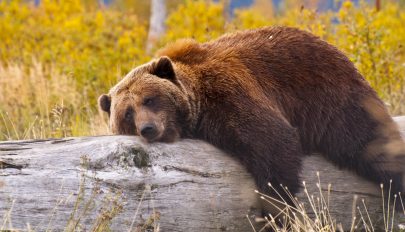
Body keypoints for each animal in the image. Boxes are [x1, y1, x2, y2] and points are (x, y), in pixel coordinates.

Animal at [98, 26, 404, 205]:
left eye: (149, 99)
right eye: (127, 113)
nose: (148, 128)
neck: (200, 101)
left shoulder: (229, 91)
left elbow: (272, 141)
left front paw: (276, 206)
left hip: (333, 99)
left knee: (371, 144)